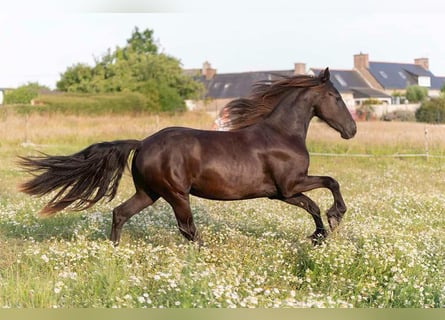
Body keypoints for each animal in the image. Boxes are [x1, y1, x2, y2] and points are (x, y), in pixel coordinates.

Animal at [19, 69, 356, 245]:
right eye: (336, 97)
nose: (351, 130)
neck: (282, 134)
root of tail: (142, 143)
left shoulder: (280, 193)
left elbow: (312, 205)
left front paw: (319, 235)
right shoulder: (289, 185)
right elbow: (331, 183)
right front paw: (334, 217)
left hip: (149, 193)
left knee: (120, 213)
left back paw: (113, 249)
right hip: (176, 194)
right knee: (188, 229)